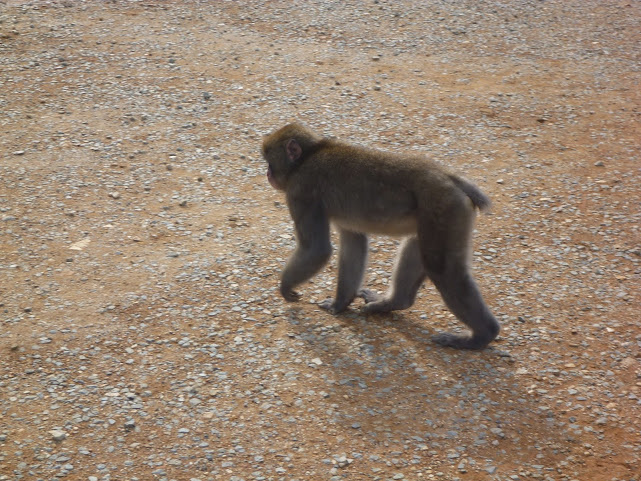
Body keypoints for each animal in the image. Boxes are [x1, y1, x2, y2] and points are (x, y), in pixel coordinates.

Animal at [262, 122, 500, 350]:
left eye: (269, 162)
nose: (268, 174)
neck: (309, 155)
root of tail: (451, 178)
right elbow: (354, 242)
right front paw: (341, 303)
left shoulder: (301, 190)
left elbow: (316, 249)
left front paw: (286, 286)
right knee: (417, 247)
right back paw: (393, 303)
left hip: (445, 208)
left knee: (441, 268)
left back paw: (481, 335)